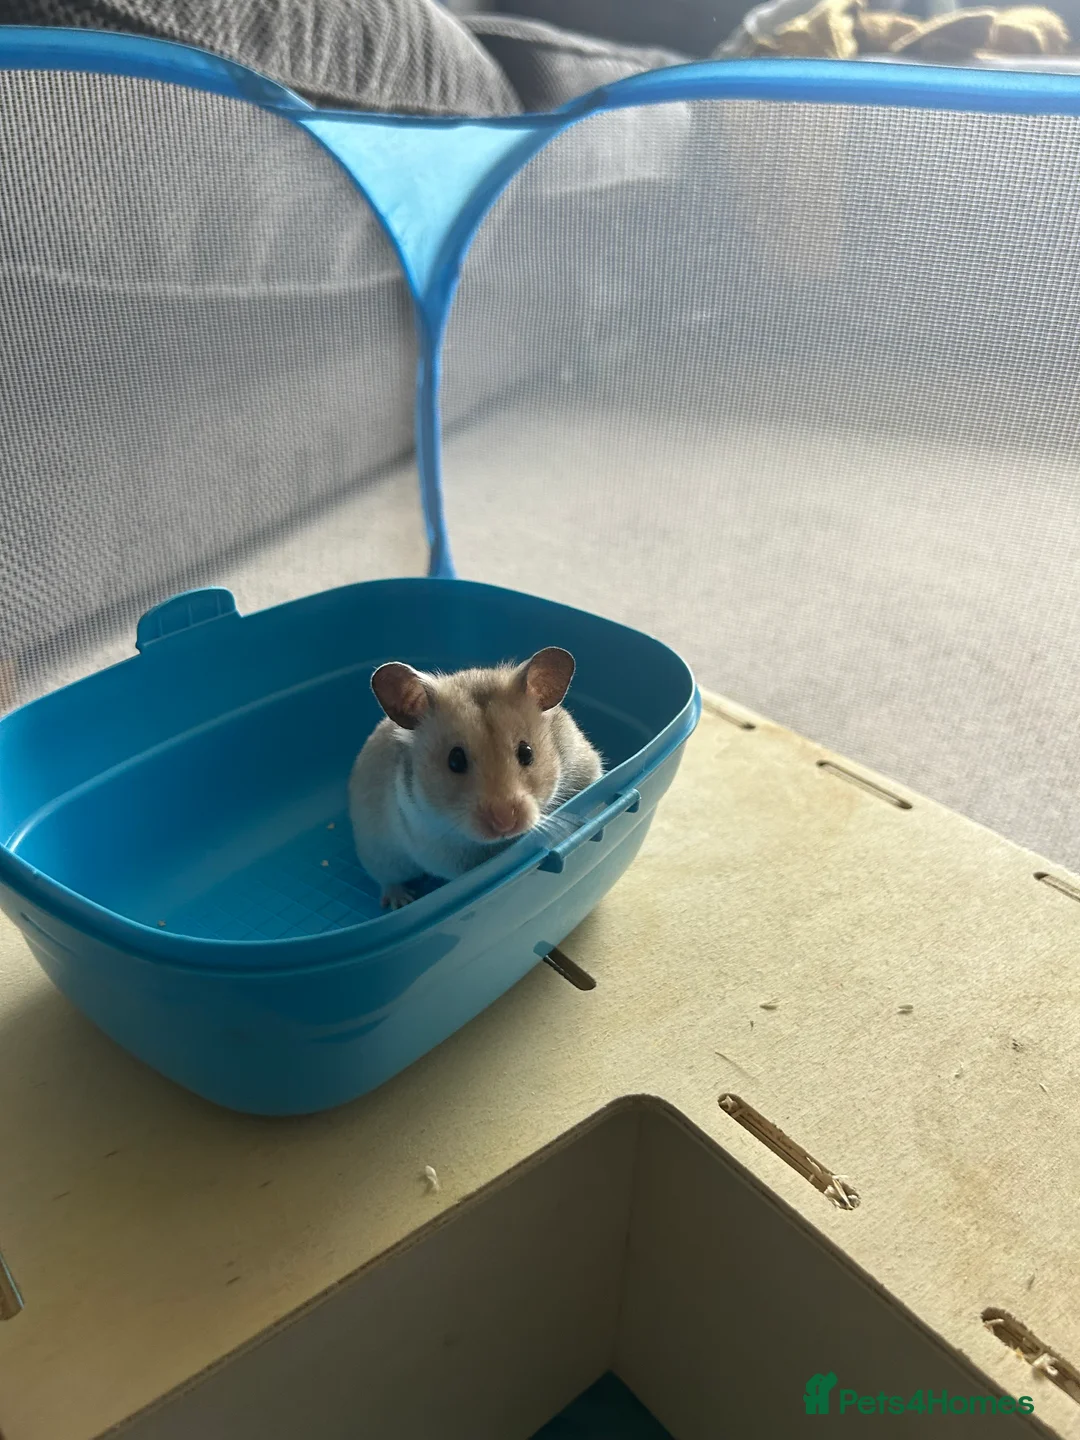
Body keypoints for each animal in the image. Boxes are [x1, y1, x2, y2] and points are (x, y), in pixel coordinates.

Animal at [348, 647, 603, 909]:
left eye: (527, 752)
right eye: (455, 760)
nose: (505, 823)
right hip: (378, 853)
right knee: (387, 879)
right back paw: (400, 901)